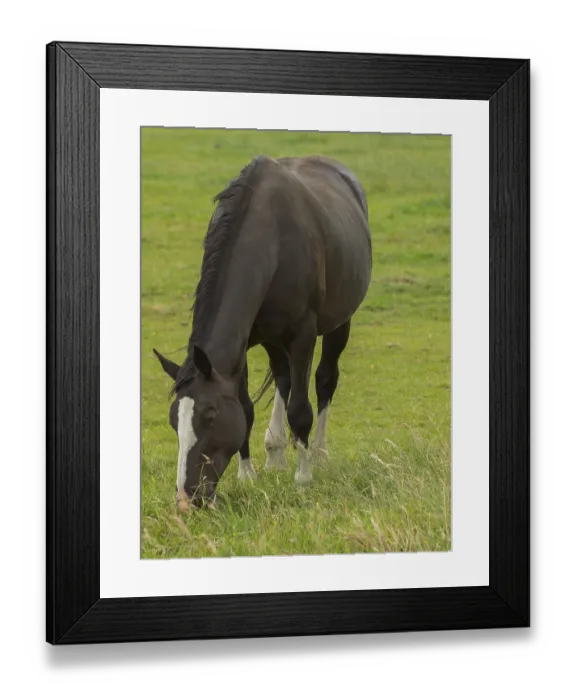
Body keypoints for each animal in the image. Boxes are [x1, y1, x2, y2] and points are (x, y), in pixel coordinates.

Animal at [153, 154, 372, 512]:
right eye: (175, 421)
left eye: (210, 417)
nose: (187, 499)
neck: (271, 239)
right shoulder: (241, 346)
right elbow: (246, 408)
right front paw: (247, 475)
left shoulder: (303, 335)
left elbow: (300, 410)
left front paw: (303, 478)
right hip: (273, 338)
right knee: (283, 377)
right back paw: (276, 455)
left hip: (339, 323)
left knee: (325, 380)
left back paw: (317, 453)